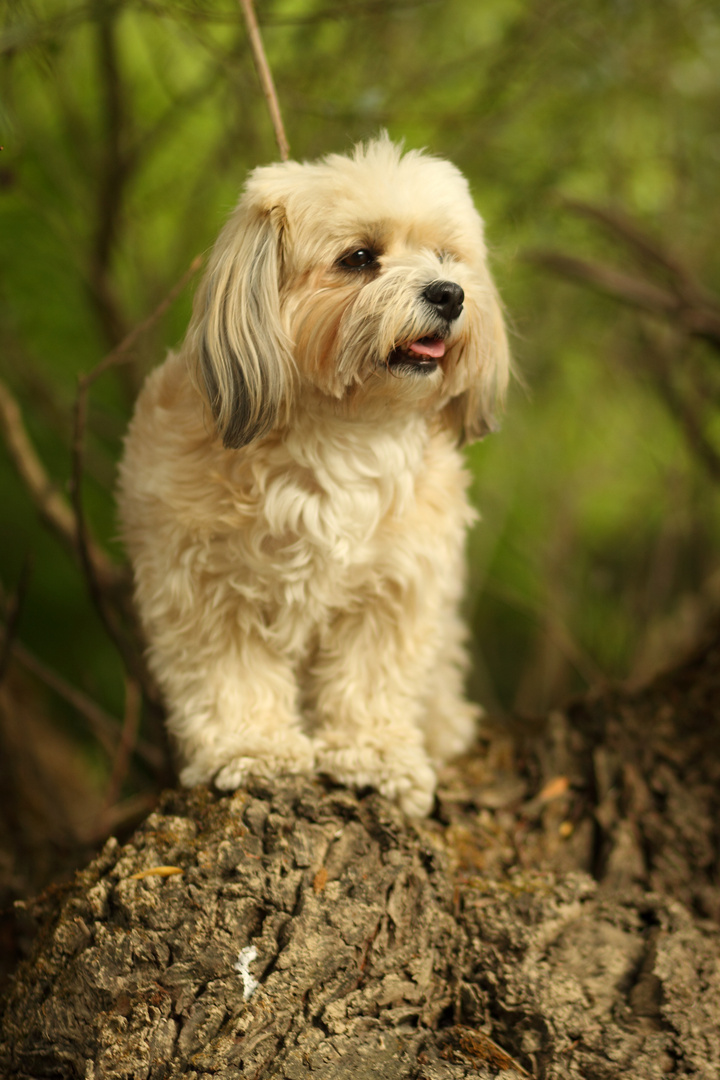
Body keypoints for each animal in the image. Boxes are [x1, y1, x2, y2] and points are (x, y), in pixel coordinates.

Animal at [117, 135, 507, 812]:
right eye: (360, 258)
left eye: (445, 256)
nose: (450, 293)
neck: (343, 433)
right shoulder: (204, 584)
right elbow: (229, 676)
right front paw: (253, 747)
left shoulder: (395, 588)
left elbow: (372, 678)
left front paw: (374, 756)